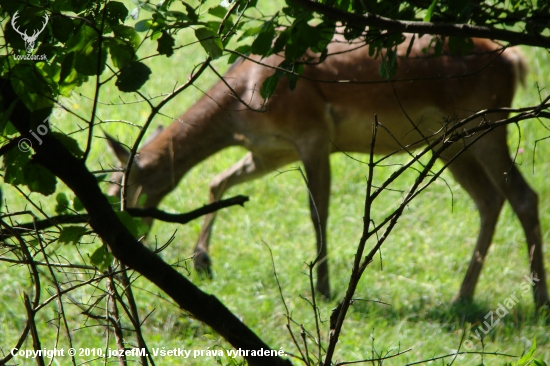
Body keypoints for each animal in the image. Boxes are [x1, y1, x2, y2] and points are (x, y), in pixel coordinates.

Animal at [108, 33, 550, 308]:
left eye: (117, 189)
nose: (121, 240)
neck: (241, 105)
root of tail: (514, 60)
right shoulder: (271, 151)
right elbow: (218, 182)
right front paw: (203, 261)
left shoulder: (313, 134)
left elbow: (317, 211)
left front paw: (322, 286)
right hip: (450, 140)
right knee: (489, 198)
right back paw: (464, 296)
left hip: (486, 122)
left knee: (523, 195)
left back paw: (536, 297)